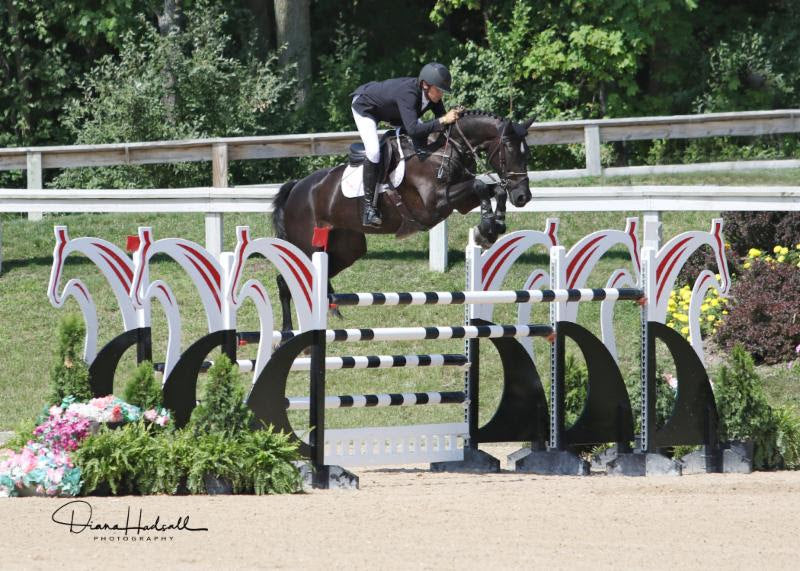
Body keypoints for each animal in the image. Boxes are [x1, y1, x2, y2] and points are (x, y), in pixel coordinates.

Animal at [272, 110, 536, 332]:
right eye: (510, 151)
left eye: (527, 153)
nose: (523, 197)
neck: (442, 150)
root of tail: (297, 187)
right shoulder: (435, 204)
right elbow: (481, 184)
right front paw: (487, 228)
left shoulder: (460, 203)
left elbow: (493, 189)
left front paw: (493, 225)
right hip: (305, 245)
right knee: (285, 281)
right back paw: (286, 333)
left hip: (348, 247)